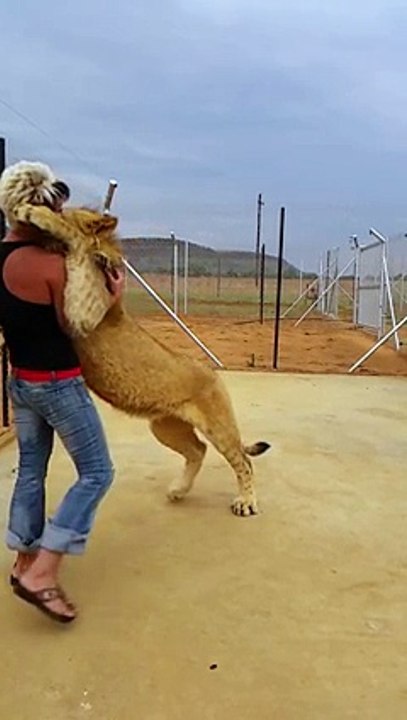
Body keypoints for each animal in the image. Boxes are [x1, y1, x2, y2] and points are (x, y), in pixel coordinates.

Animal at [10, 202, 270, 517]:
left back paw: (246, 502)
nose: (42, 206)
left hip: (217, 424)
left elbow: (73, 237)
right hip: (165, 426)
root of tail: (212, 373)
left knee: (243, 461)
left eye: (60, 208)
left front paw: (34, 212)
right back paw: (178, 490)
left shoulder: (84, 309)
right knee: (198, 450)